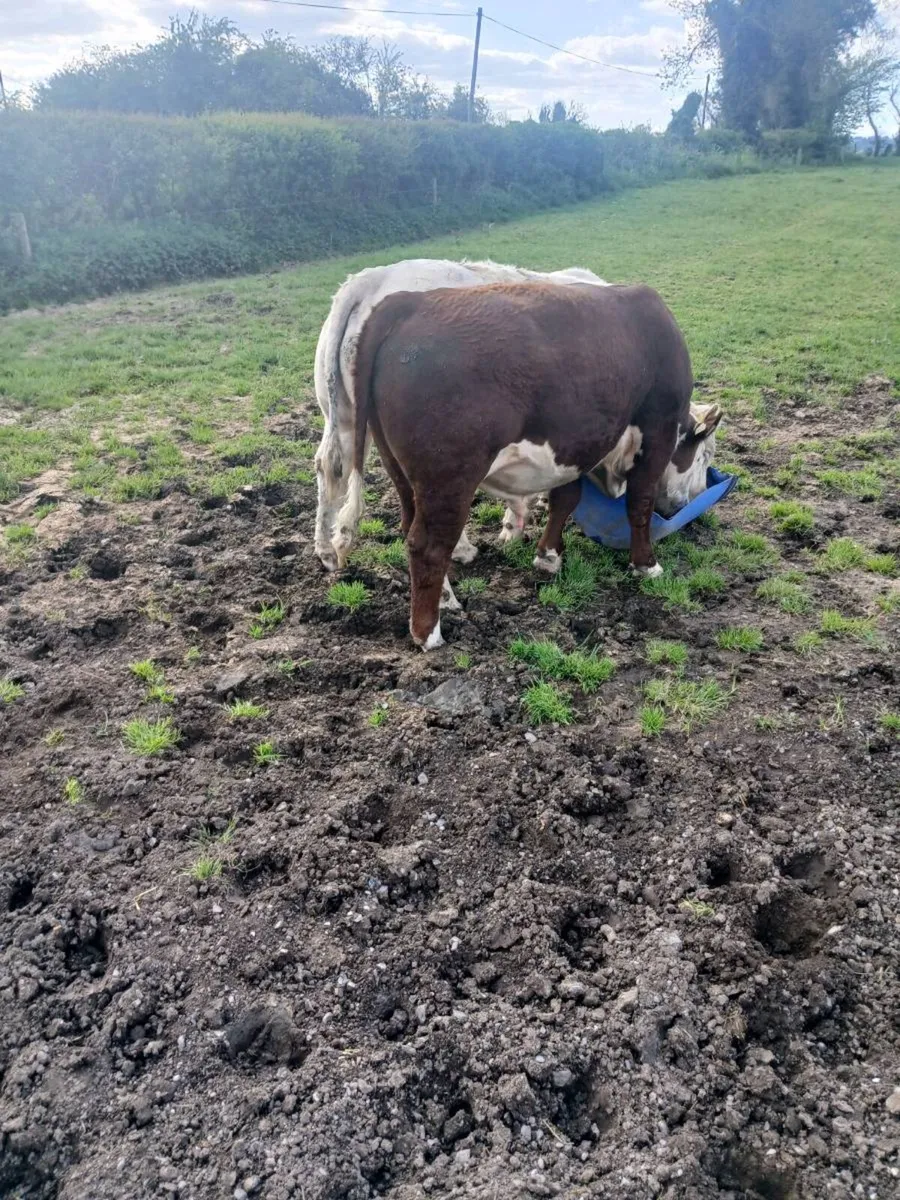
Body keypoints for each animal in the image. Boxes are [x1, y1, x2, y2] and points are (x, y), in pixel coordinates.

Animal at [345, 281, 722, 650]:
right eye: (705, 455)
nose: (693, 499)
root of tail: (409, 302)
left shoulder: (575, 445)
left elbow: (565, 499)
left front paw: (548, 555)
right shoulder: (658, 430)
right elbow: (640, 504)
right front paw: (646, 564)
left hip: (400, 471)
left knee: (408, 528)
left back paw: (446, 601)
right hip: (448, 479)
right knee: (428, 546)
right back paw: (428, 633)